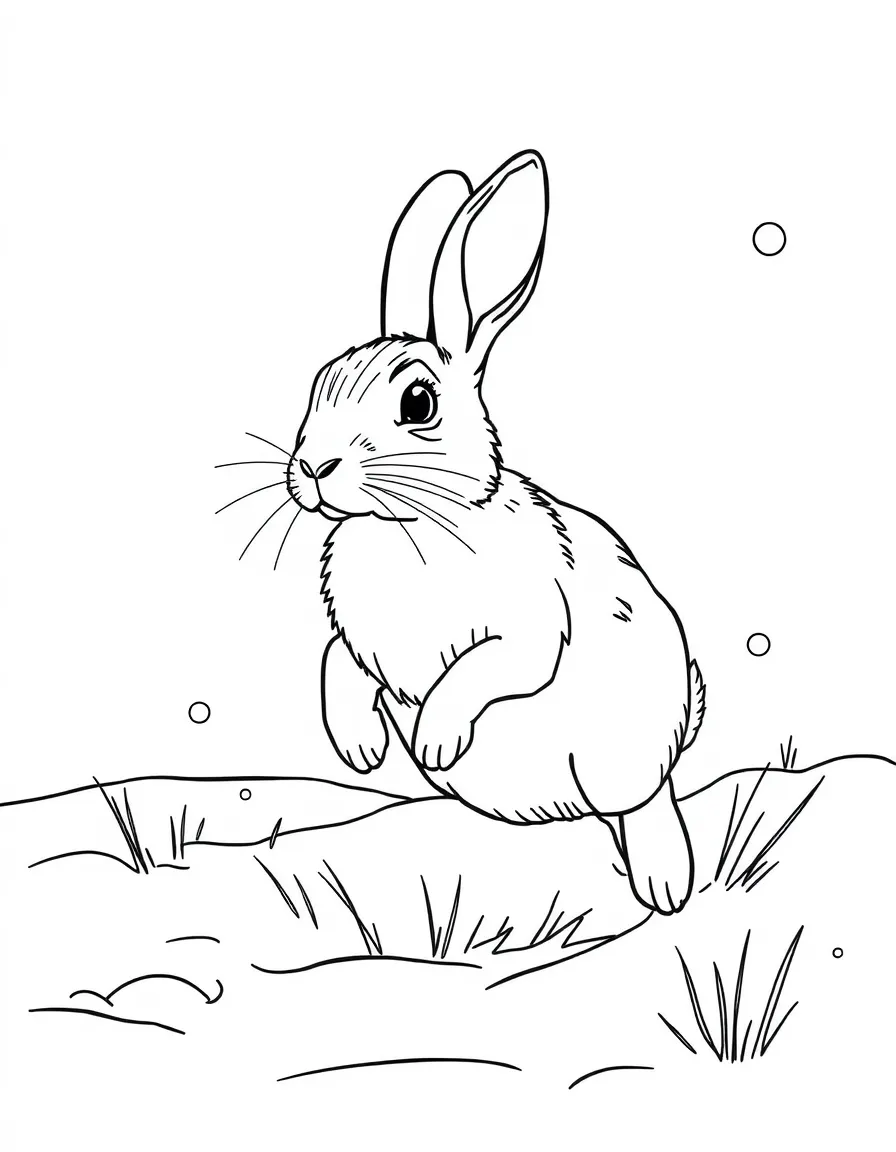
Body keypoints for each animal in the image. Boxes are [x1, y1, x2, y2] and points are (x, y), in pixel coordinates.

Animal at [285, 150, 705, 915]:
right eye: (319, 381)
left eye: (418, 402)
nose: (312, 468)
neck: (410, 523)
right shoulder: (364, 647)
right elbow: (335, 659)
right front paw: (360, 748)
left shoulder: (529, 631)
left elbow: (483, 669)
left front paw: (437, 739)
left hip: (620, 750)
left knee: (645, 802)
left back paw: (664, 885)